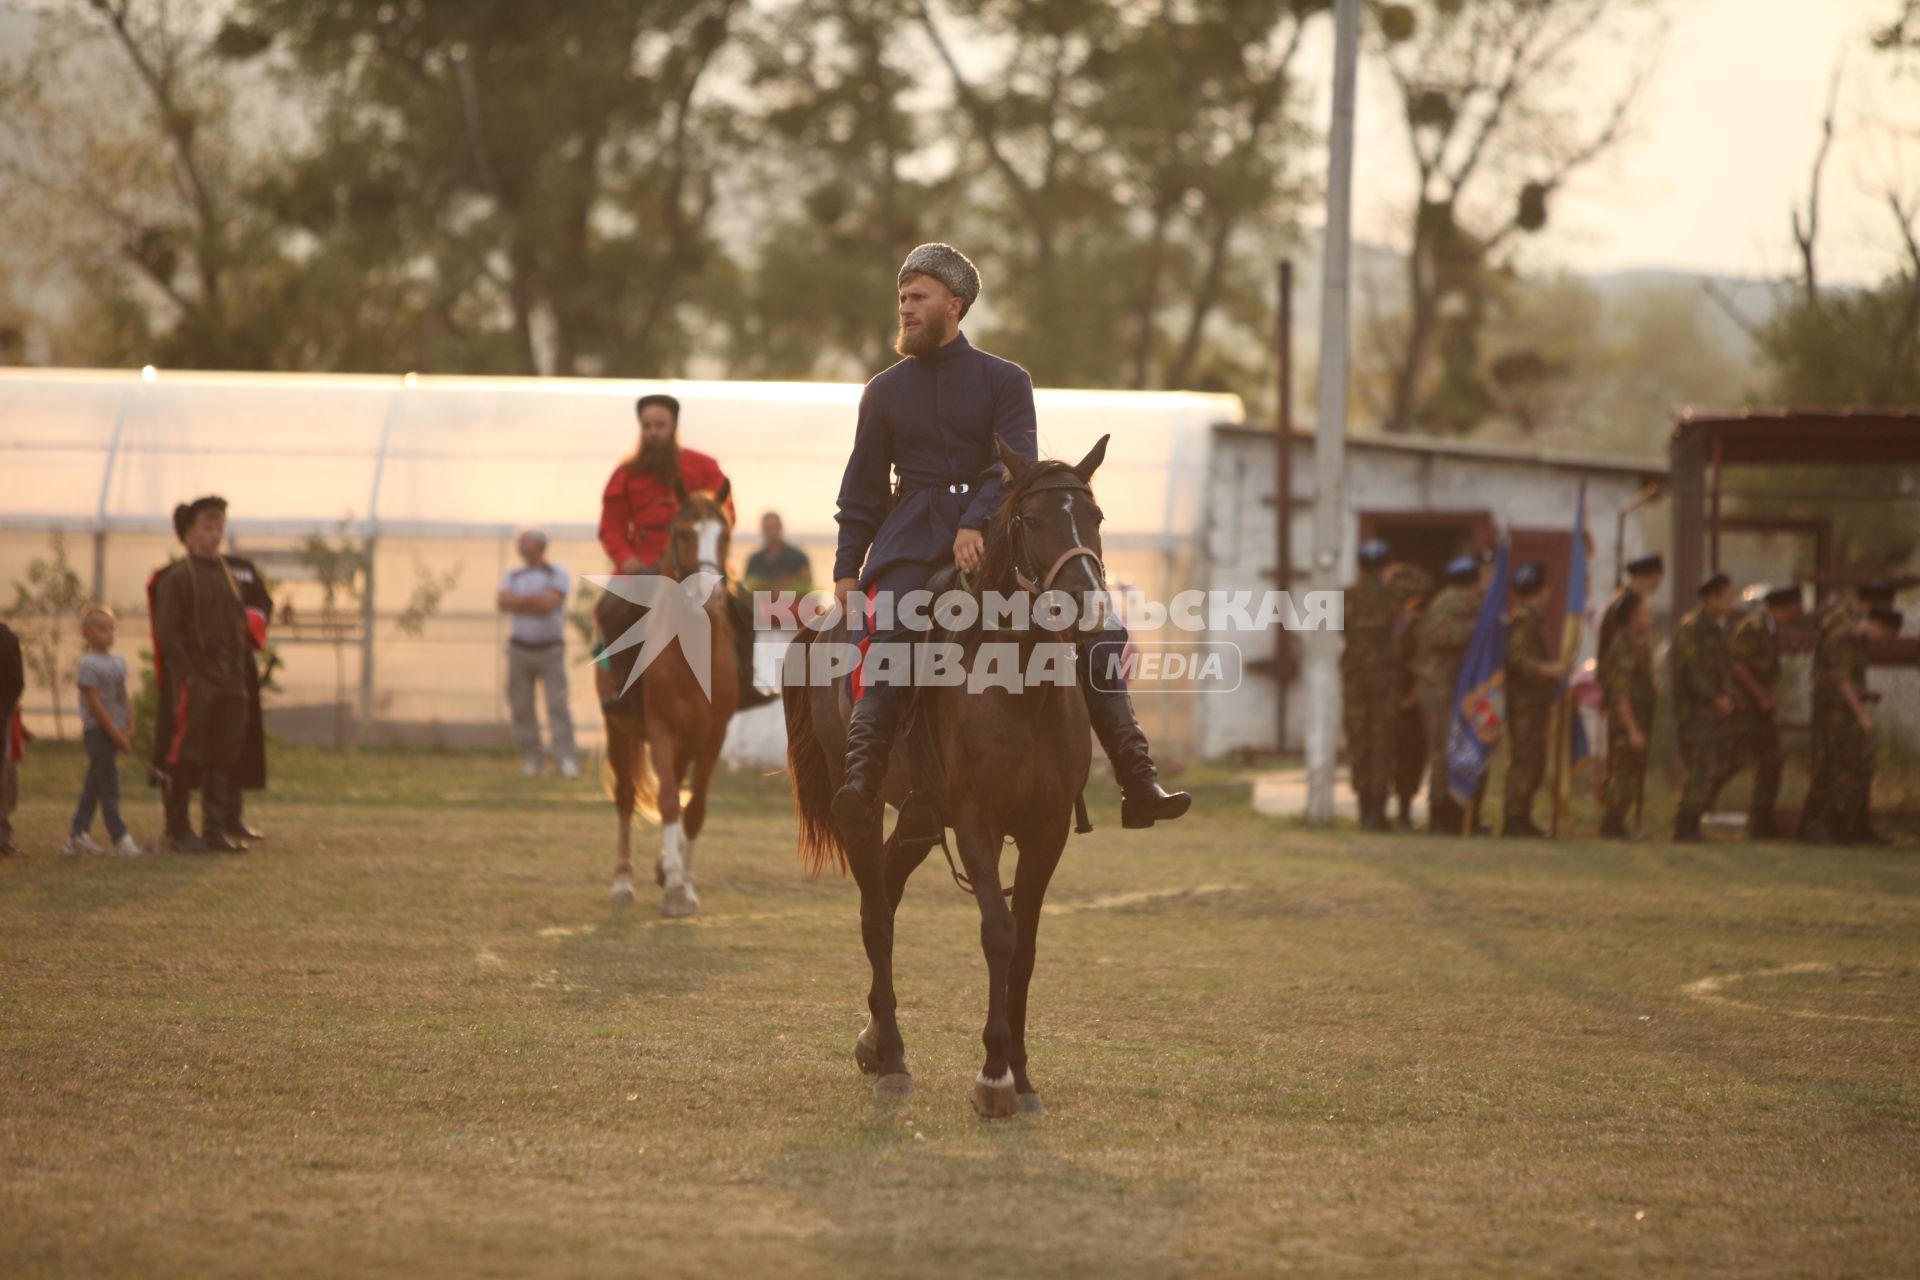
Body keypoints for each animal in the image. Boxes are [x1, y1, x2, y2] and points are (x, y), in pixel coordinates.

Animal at [599, 485, 741, 917]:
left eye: (724, 534)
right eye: (682, 533)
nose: (711, 596)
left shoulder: (713, 736)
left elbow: (692, 810)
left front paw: (683, 884)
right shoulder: (661, 731)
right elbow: (666, 802)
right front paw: (676, 888)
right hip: (618, 731)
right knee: (627, 798)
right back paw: (623, 882)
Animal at [783, 435, 1113, 1113]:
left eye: (1094, 517)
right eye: (1031, 520)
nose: (1089, 602)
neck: (1023, 687)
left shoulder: (1046, 831)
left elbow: (1027, 944)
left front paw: (1022, 1076)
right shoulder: (975, 823)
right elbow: (998, 932)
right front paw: (994, 1077)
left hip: (917, 812)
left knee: (885, 887)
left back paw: (873, 1040)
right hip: (864, 804)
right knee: (876, 916)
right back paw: (892, 1059)